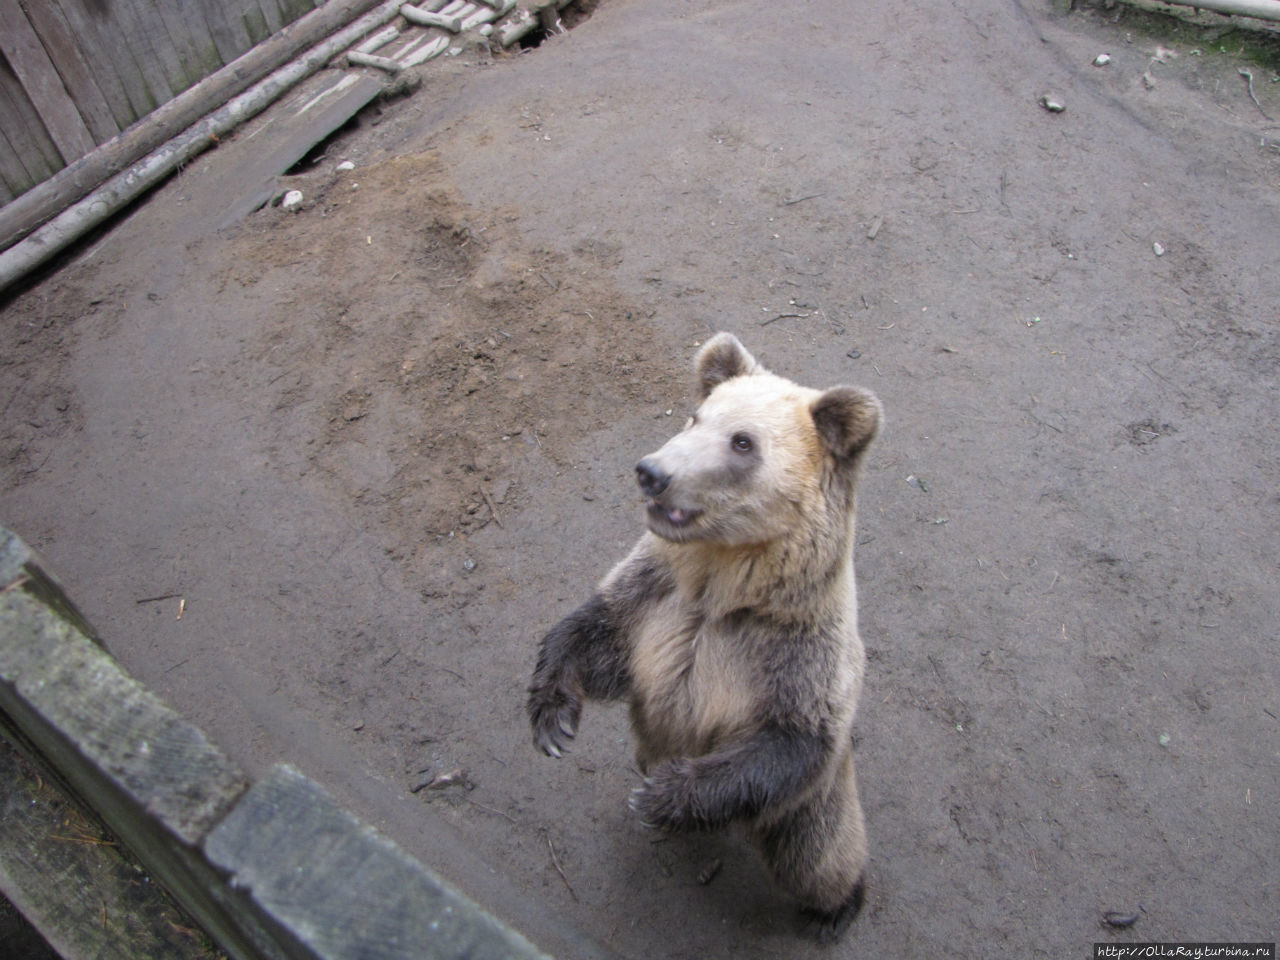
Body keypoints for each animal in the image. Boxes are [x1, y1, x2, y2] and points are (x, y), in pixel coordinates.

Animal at [527, 332, 880, 942]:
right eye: (696, 416)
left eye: (742, 442)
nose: (652, 471)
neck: (723, 590)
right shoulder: (657, 600)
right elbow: (599, 638)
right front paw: (553, 717)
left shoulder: (794, 650)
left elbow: (789, 740)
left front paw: (657, 797)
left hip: (811, 804)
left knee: (817, 853)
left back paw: (835, 909)